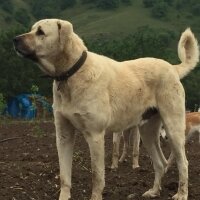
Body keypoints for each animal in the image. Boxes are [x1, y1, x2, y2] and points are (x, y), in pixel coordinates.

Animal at [13, 19, 199, 200]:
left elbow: (97, 176)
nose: (15, 39)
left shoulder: (95, 135)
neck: (71, 74)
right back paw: (153, 192)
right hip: (147, 131)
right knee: (161, 163)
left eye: (41, 32)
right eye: (32, 29)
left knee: (183, 163)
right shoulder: (63, 136)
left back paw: (181, 194)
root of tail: (172, 68)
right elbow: (65, 176)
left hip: (173, 128)